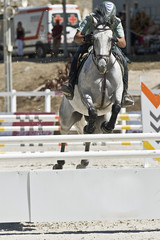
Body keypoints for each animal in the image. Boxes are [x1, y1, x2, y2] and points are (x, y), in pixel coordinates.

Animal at [54, 21, 123, 169]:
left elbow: (116, 107)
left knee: (92, 134)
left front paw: (108, 127)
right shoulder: (86, 94)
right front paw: (89, 126)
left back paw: (84, 160)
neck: (103, 73)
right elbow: (92, 110)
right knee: (64, 133)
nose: (102, 65)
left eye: (112, 39)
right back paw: (60, 162)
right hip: (67, 117)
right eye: (94, 39)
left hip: (101, 117)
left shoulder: (118, 91)